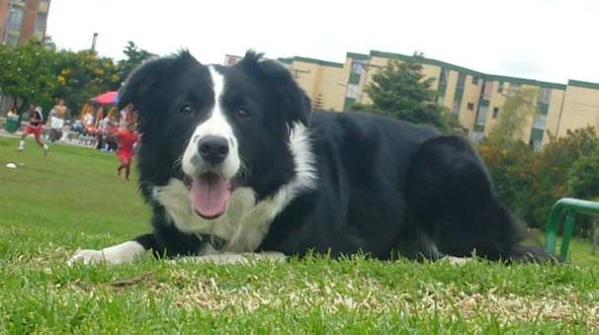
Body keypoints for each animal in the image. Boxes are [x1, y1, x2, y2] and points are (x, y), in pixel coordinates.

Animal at [69, 50, 544, 266]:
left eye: (243, 113)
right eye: (186, 109)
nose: (213, 147)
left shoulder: (309, 250)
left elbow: (224, 257)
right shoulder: (174, 231)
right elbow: (141, 243)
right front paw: (94, 255)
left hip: (442, 158)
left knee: (500, 253)